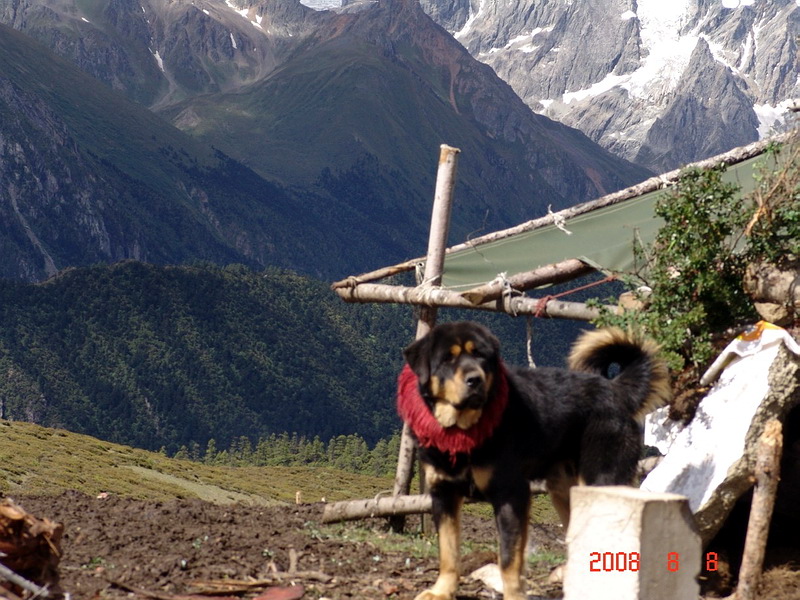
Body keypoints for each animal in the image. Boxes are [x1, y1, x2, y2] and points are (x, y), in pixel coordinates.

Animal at [398, 324, 668, 600]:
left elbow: (509, 557)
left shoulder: (511, 493)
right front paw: (441, 591)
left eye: (480, 356)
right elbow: (448, 551)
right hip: (564, 489)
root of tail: (616, 389)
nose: (475, 379)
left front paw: (513, 595)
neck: (464, 432)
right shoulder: (444, 494)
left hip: (601, 480)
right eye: (447, 359)